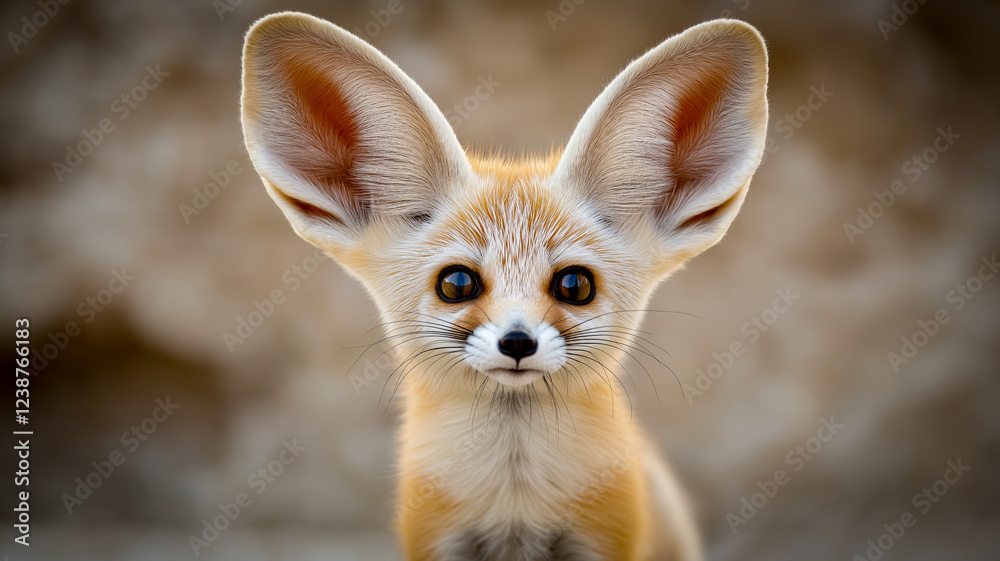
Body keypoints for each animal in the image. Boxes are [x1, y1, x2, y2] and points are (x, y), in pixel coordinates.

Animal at [241, 11, 768, 561]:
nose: (517, 342)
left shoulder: (605, 539)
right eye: (456, 283)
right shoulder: (437, 541)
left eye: (574, 285)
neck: (515, 509)